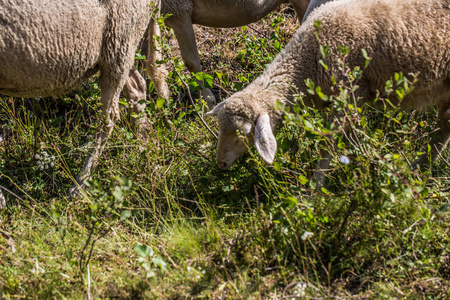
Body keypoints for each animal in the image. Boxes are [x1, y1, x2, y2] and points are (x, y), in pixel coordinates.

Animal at [0, 0, 159, 202]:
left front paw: (1, 199)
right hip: (120, 50)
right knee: (137, 88)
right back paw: (142, 145)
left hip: (120, 40)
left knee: (109, 118)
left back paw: (80, 184)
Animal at [207, 0, 450, 183]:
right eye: (220, 128)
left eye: (243, 134)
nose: (221, 163)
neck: (308, 58)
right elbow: (353, 136)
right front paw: (361, 160)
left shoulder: (348, 94)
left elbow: (328, 144)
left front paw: (315, 188)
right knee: (444, 130)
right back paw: (418, 168)